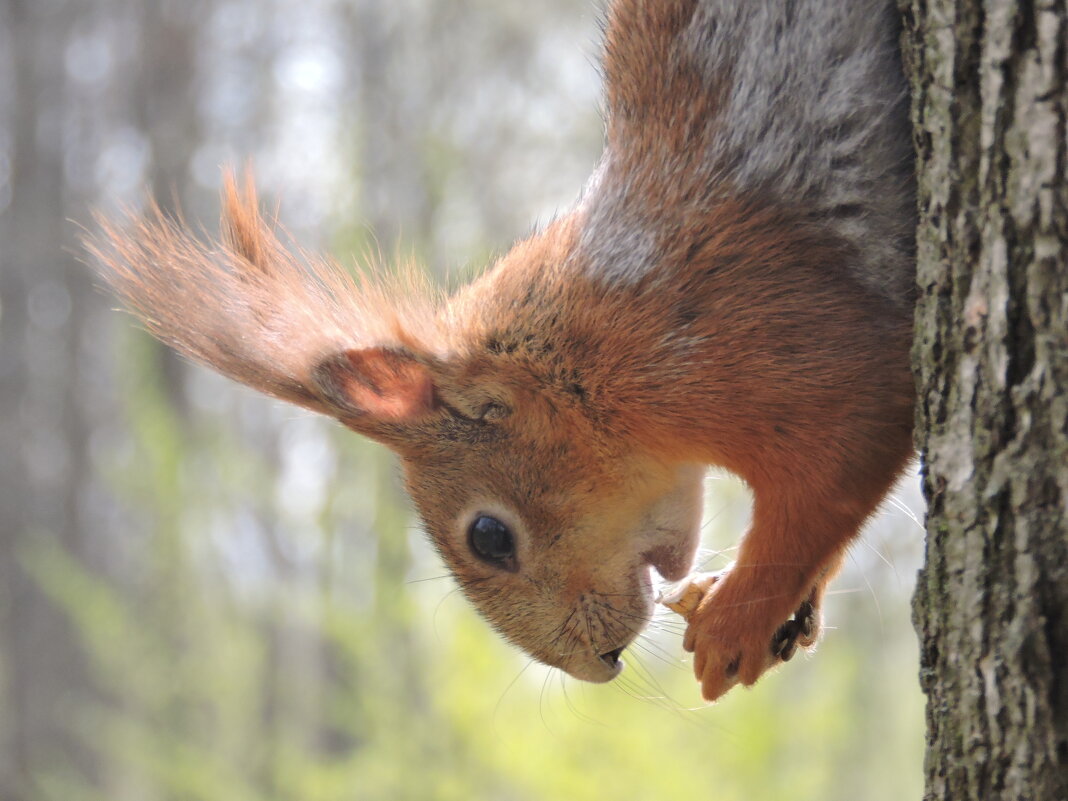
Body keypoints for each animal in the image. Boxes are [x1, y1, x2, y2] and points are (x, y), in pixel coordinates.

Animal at [87, 0, 914, 700]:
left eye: (488, 536)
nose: (592, 664)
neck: (583, 363)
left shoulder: (751, 344)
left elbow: (844, 456)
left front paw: (737, 618)